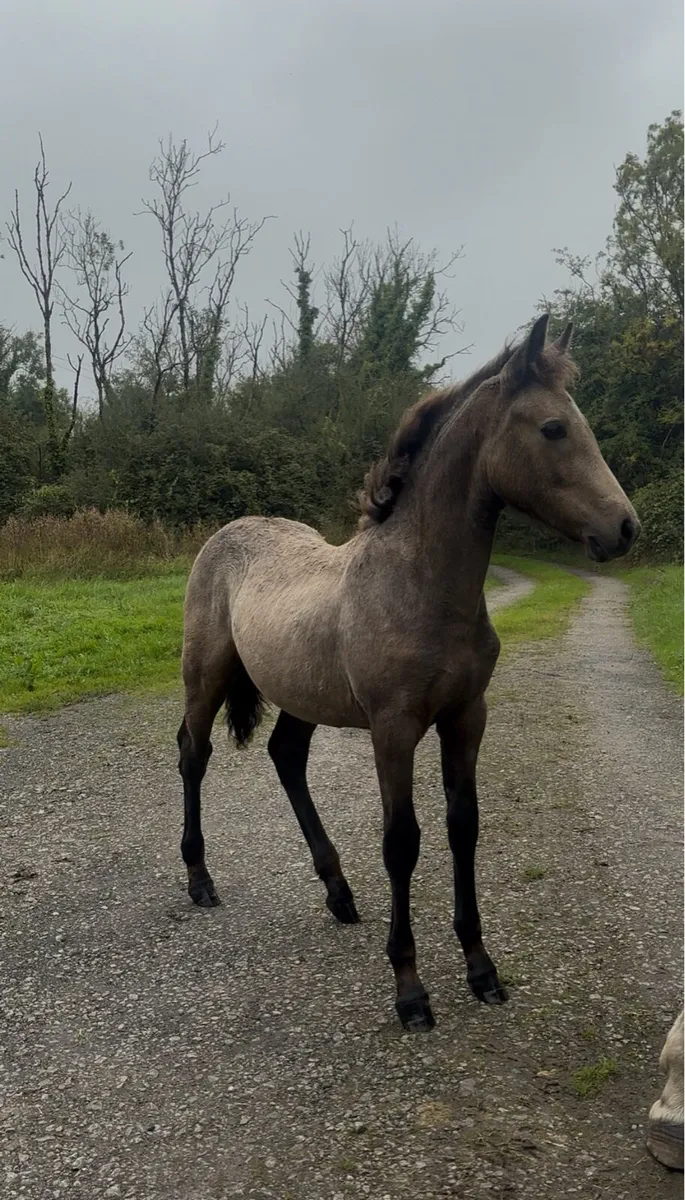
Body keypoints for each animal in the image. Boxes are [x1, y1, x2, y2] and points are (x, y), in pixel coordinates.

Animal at [176, 313, 639, 1032]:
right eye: (552, 428)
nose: (623, 528)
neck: (421, 587)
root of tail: (228, 532)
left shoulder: (466, 717)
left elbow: (462, 826)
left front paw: (481, 968)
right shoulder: (392, 729)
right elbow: (402, 840)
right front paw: (410, 990)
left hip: (302, 697)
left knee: (286, 757)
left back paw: (338, 893)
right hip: (206, 673)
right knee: (192, 754)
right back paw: (201, 880)